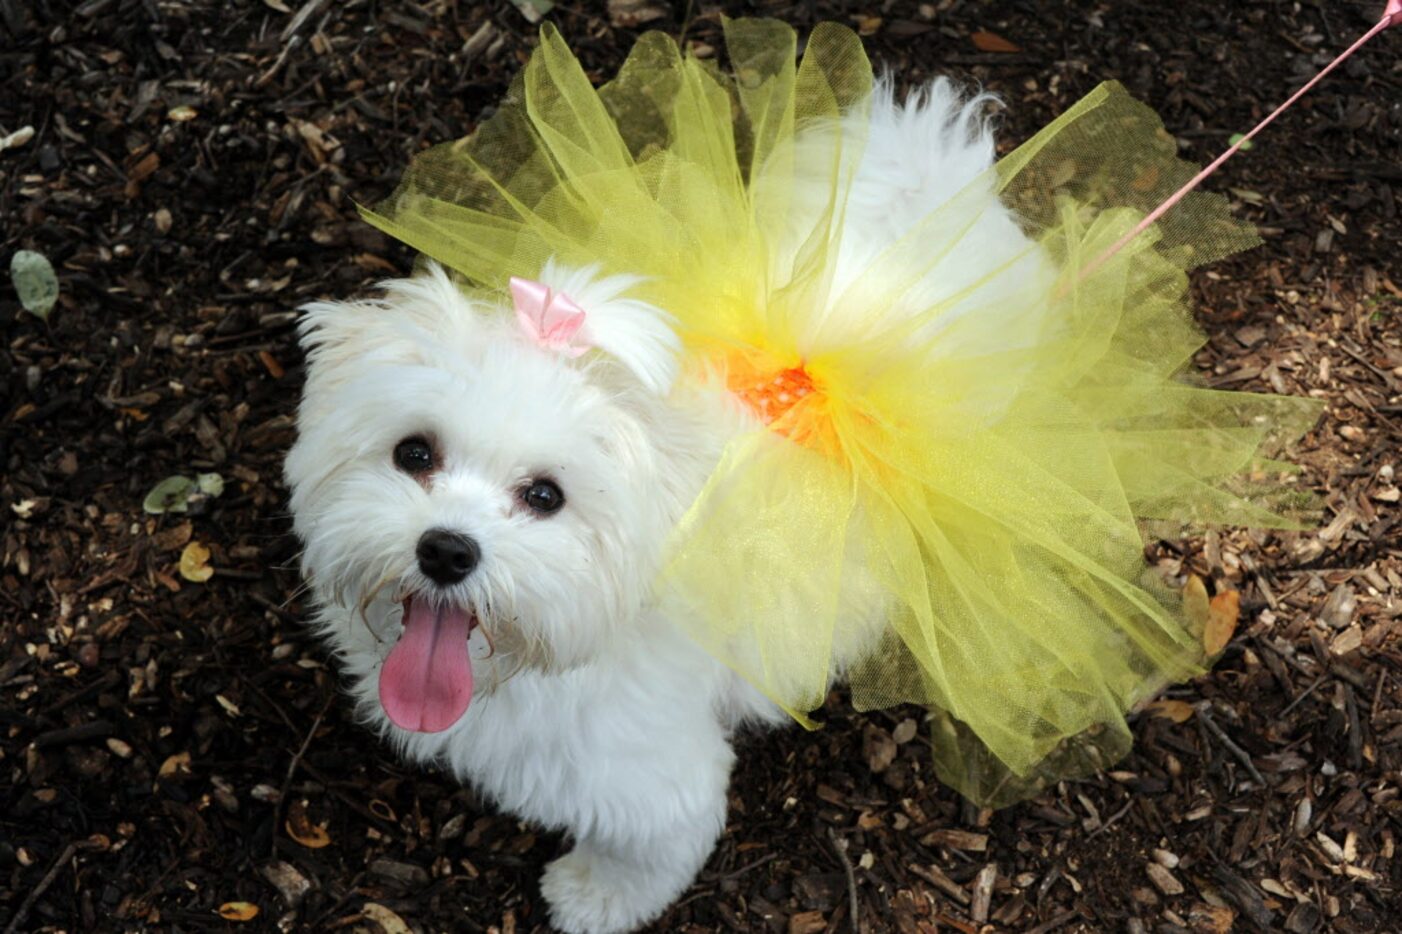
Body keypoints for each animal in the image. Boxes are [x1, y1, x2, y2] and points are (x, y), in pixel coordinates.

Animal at [287, 79, 1031, 931]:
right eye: (414, 453)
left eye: (545, 496)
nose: (446, 549)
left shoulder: (645, 771)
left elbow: (652, 847)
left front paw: (594, 898)